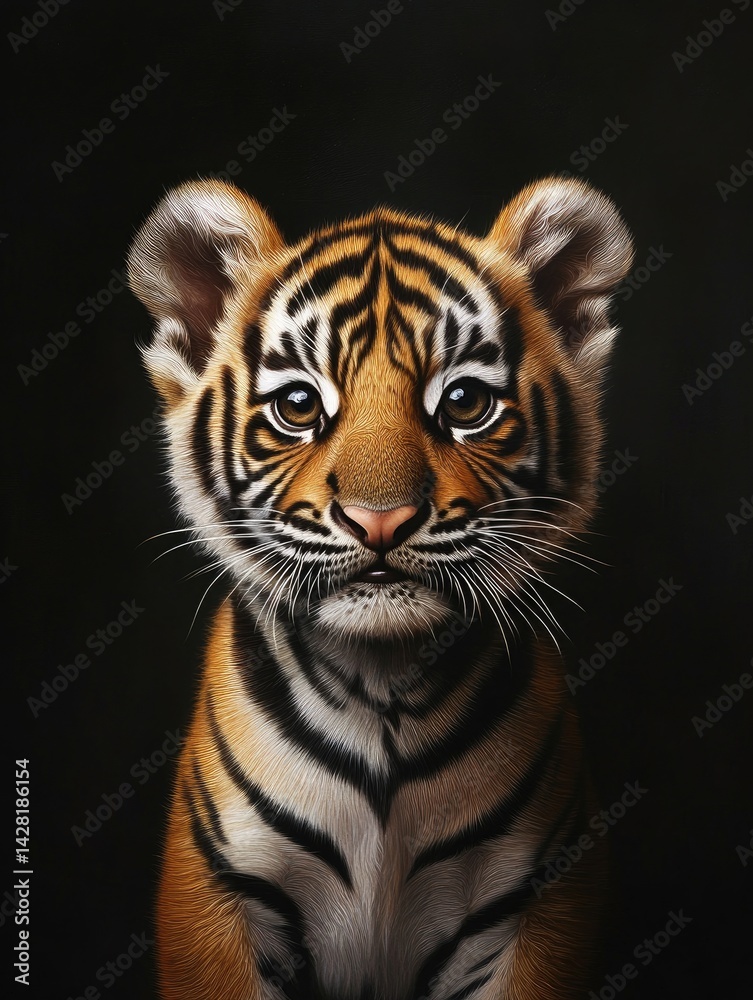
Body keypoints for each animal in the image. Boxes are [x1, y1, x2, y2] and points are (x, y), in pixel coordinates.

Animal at [127, 174, 633, 1000]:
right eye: (299, 406)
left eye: (463, 403)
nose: (380, 518)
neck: (383, 693)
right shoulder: (219, 891)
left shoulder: (540, 896)